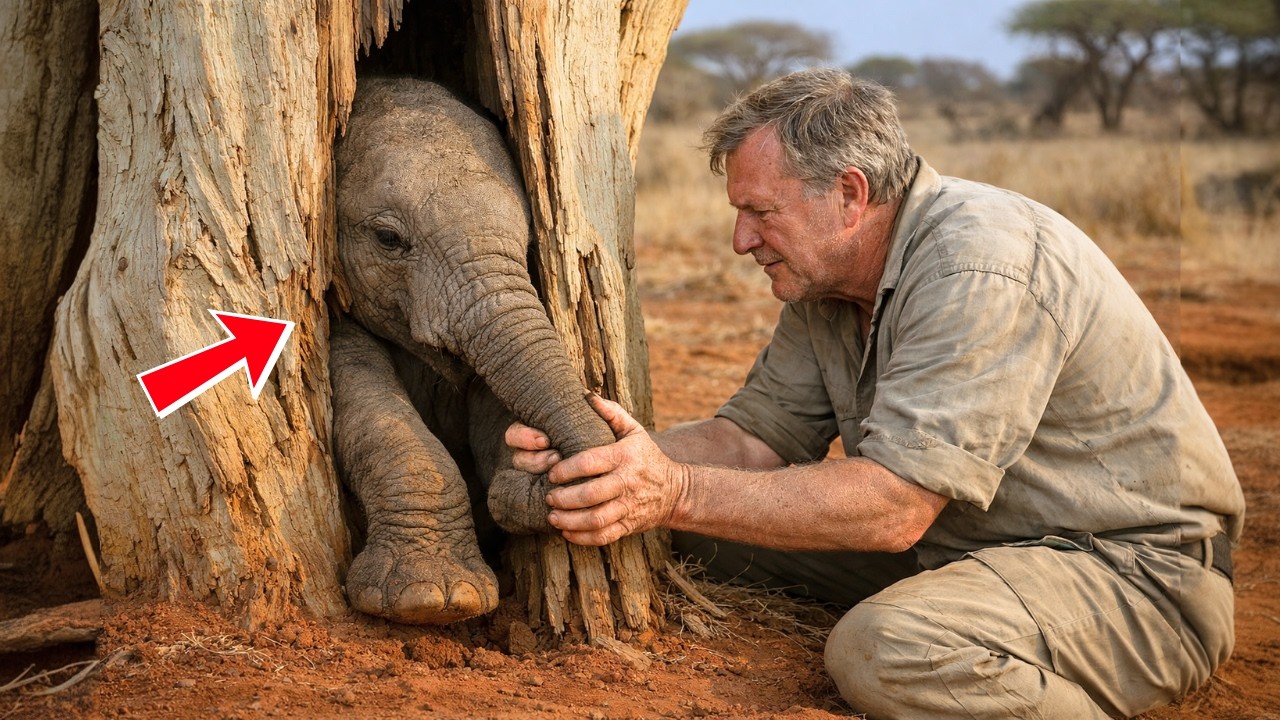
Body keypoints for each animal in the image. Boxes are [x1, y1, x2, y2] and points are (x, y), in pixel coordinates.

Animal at [331, 77, 615, 624]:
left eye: (529, 243)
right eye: (388, 239)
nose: (546, 463)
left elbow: (491, 405)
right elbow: (365, 401)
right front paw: (434, 599)